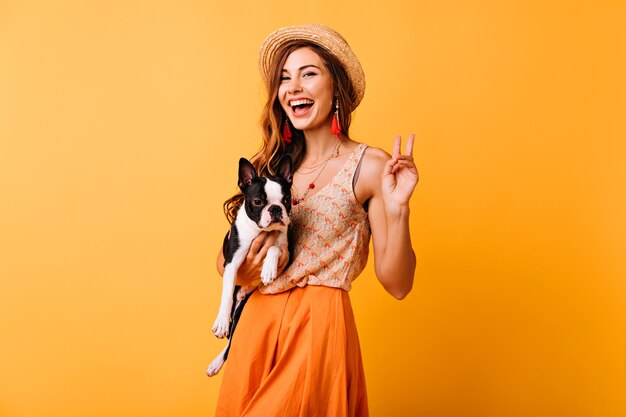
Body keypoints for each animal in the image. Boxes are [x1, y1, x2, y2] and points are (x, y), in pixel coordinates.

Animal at [206, 154, 292, 376]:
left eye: (287, 200)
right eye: (258, 202)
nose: (276, 209)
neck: (260, 231)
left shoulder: (286, 253)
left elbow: (274, 248)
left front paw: (268, 269)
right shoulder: (232, 261)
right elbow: (227, 293)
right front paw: (221, 322)